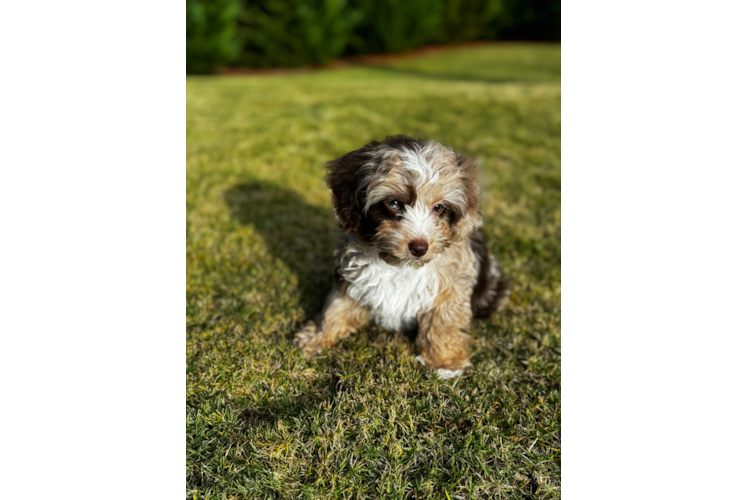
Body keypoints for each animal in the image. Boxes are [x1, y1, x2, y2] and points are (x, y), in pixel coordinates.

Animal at [292, 135, 508, 376]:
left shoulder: (452, 285)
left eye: (439, 207)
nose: (419, 247)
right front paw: (318, 337)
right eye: (394, 203)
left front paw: (444, 362)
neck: (400, 265)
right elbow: (337, 307)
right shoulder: (350, 276)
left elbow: (443, 321)